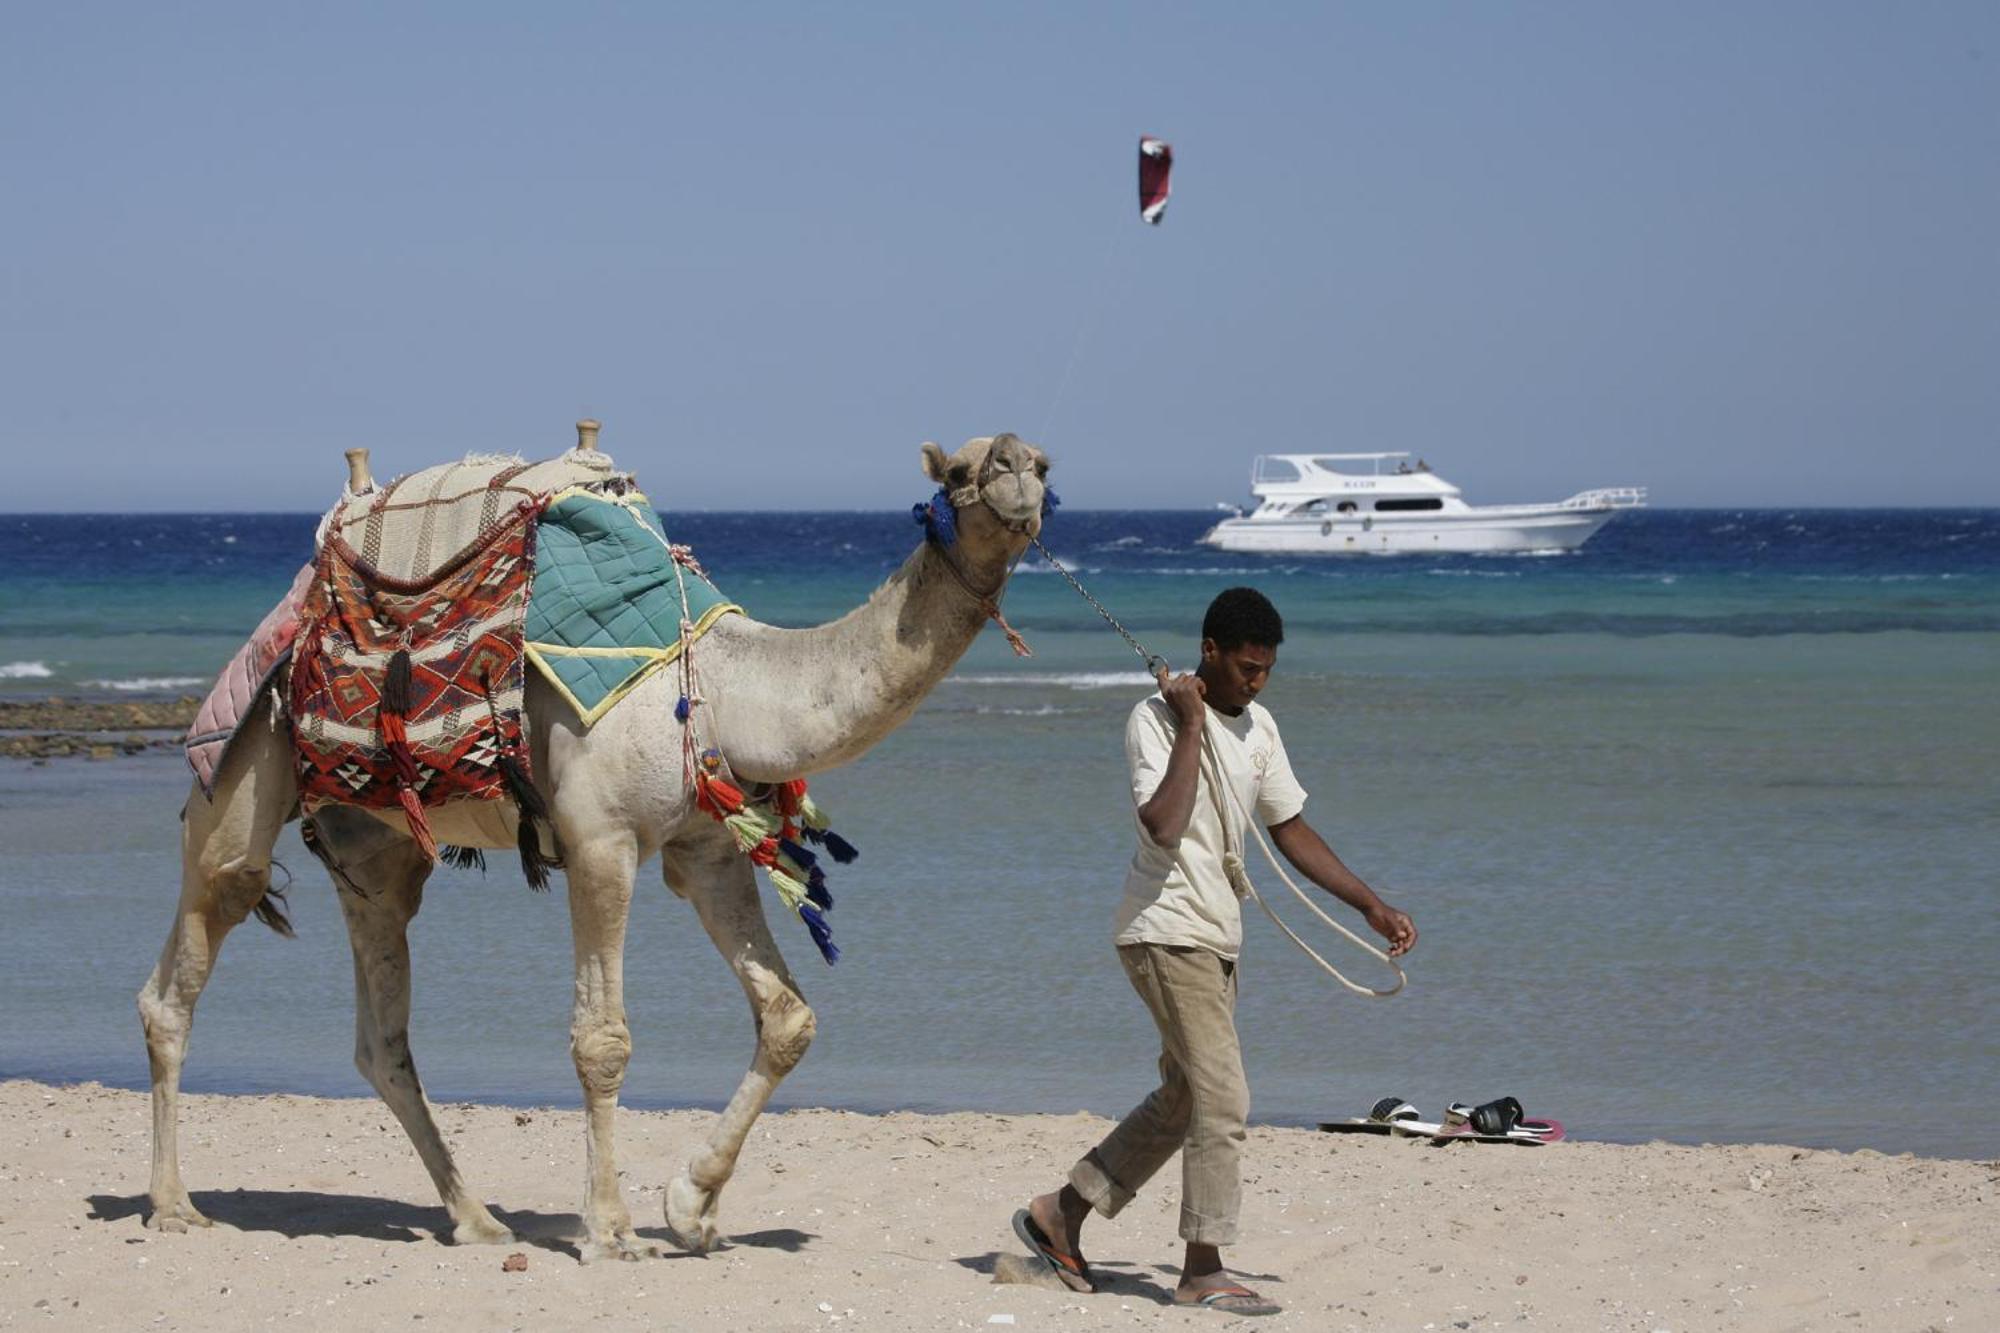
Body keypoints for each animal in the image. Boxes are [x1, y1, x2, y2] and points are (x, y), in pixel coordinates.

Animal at [135, 428, 1056, 1256]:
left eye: (1045, 463)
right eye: (964, 470)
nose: (1019, 471)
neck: (721, 686)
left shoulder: (706, 849)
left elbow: (788, 1016)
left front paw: (691, 1208)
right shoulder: (601, 840)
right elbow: (602, 1040)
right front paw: (611, 1229)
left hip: (375, 846)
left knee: (381, 1035)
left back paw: (476, 1219)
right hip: (243, 769)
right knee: (182, 968)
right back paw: (174, 1205)